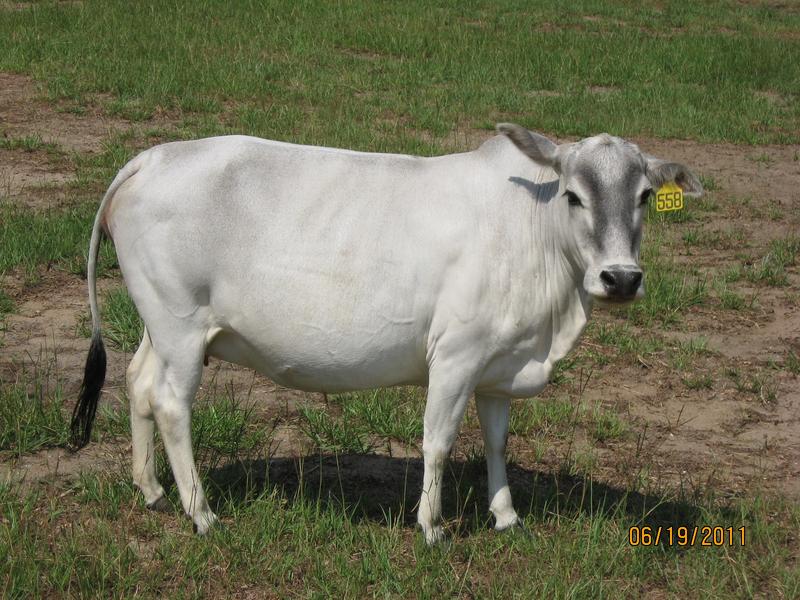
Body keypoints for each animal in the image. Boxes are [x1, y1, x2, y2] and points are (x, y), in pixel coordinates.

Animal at [71, 124, 702, 543]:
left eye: (645, 196)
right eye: (574, 195)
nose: (621, 278)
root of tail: (153, 157)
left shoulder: (498, 366)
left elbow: (496, 442)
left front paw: (506, 516)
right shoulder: (455, 355)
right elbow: (438, 441)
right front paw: (432, 527)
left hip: (162, 326)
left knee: (137, 383)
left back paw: (152, 490)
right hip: (179, 327)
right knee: (171, 404)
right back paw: (200, 512)